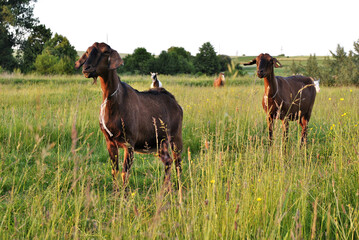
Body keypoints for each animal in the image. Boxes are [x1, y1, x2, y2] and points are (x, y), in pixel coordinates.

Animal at [75, 42, 184, 190]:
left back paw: (179, 187)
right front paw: (115, 192)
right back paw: (165, 189)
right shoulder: (110, 142)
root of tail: (175, 102)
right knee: (168, 161)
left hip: (175, 137)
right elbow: (114, 170)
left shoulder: (129, 142)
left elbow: (124, 172)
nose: (86, 68)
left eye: (105, 52)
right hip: (160, 142)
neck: (115, 101)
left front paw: (124, 194)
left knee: (178, 162)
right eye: (87, 51)